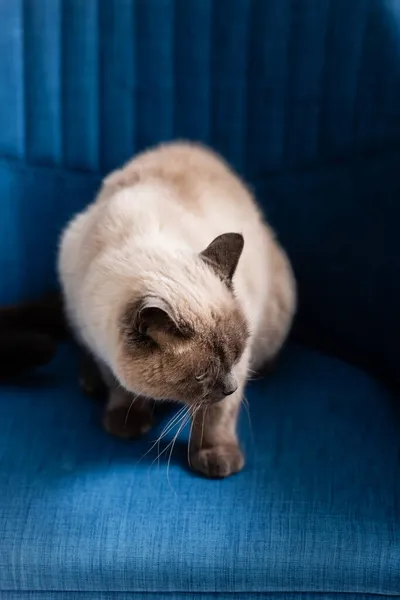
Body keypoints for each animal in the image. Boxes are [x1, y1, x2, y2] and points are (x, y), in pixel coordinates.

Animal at [59, 142, 296, 478]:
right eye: (201, 376)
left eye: (236, 357)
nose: (232, 387)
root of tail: (193, 145)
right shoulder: (99, 341)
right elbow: (119, 386)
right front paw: (128, 423)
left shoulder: (236, 372)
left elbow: (215, 416)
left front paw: (216, 459)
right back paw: (89, 381)